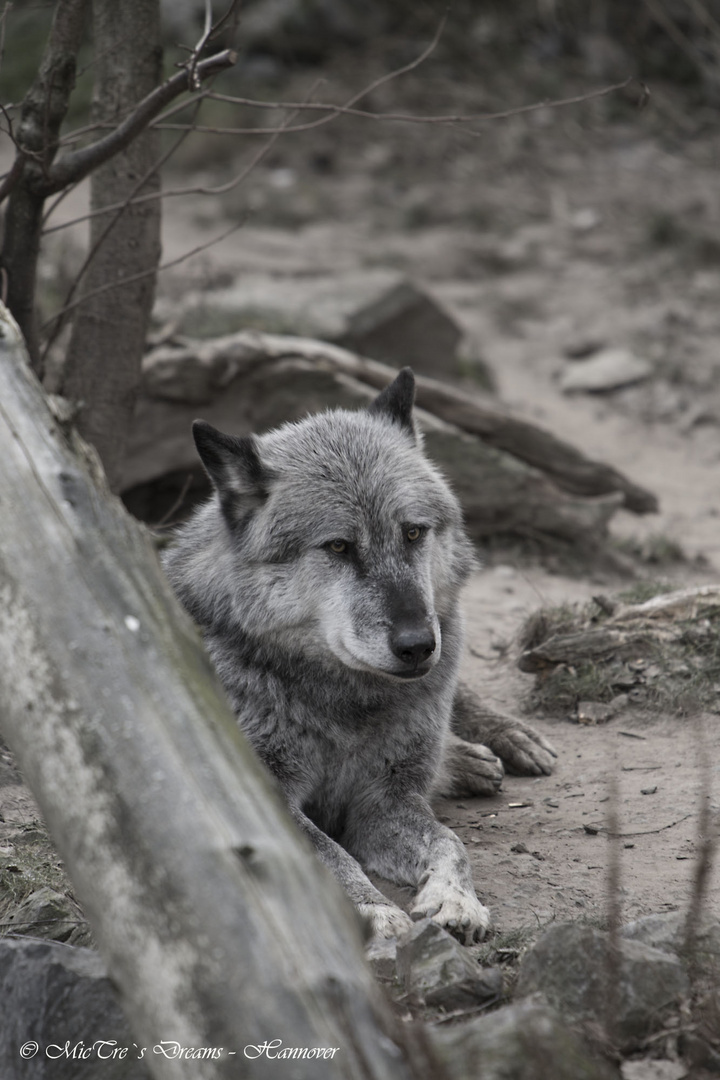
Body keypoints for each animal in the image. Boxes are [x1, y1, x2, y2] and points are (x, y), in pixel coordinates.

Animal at [165, 367, 557, 941]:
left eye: (413, 532)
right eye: (338, 547)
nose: (418, 645)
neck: (346, 704)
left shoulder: (383, 802)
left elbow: (450, 844)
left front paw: (456, 900)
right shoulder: (267, 796)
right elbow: (329, 854)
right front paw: (374, 913)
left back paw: (495, 744)